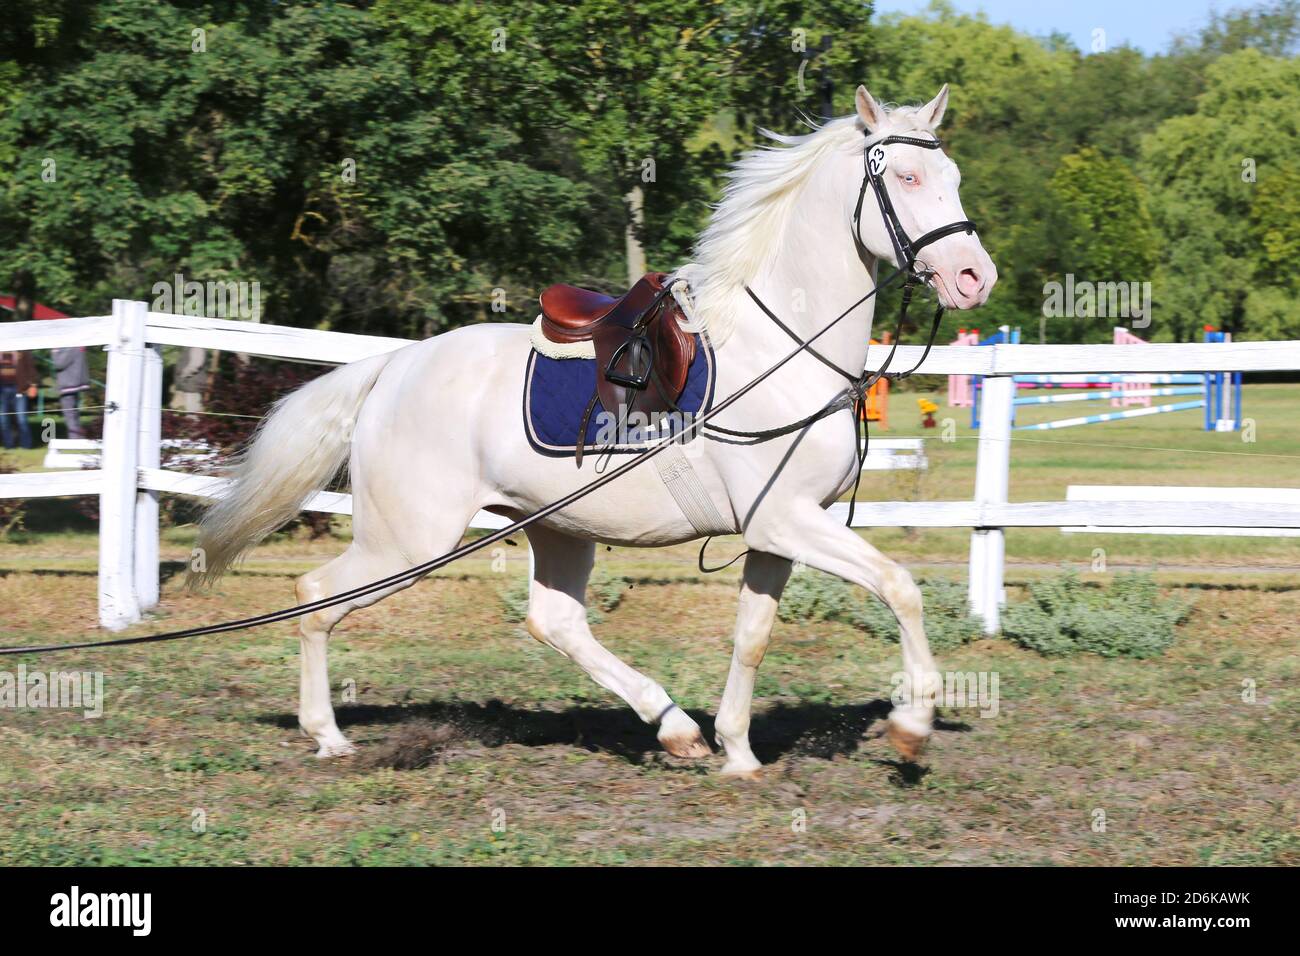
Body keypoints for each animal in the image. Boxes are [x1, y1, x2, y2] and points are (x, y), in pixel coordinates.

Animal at [191, 83, 996, 776]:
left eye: (953, 175)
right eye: (908, 178)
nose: (973, 279)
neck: (781, 351)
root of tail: (393, 367)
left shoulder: (777, 533)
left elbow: (753, 636)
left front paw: (737, 750)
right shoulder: (787, 521)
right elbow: (901, 587)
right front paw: (911, 726)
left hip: (554, 527)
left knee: (555, 623)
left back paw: (676, 729)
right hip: (408, 543)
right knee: (316, 596)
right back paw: (327, 734)